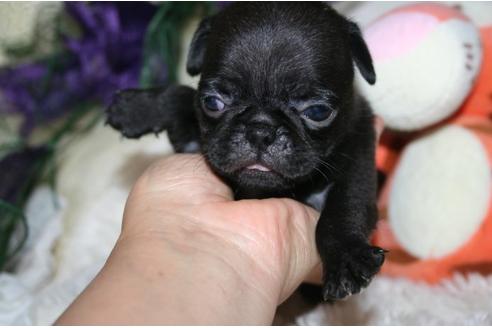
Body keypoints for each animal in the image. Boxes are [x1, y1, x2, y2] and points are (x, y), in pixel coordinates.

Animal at [105, 1, 386, 302]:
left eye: (318, 112)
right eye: (212, 102)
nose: (260, 131)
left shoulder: (359, 153)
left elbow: (345, 205)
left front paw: (346, 257)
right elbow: (182, 95)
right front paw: (138, 108)